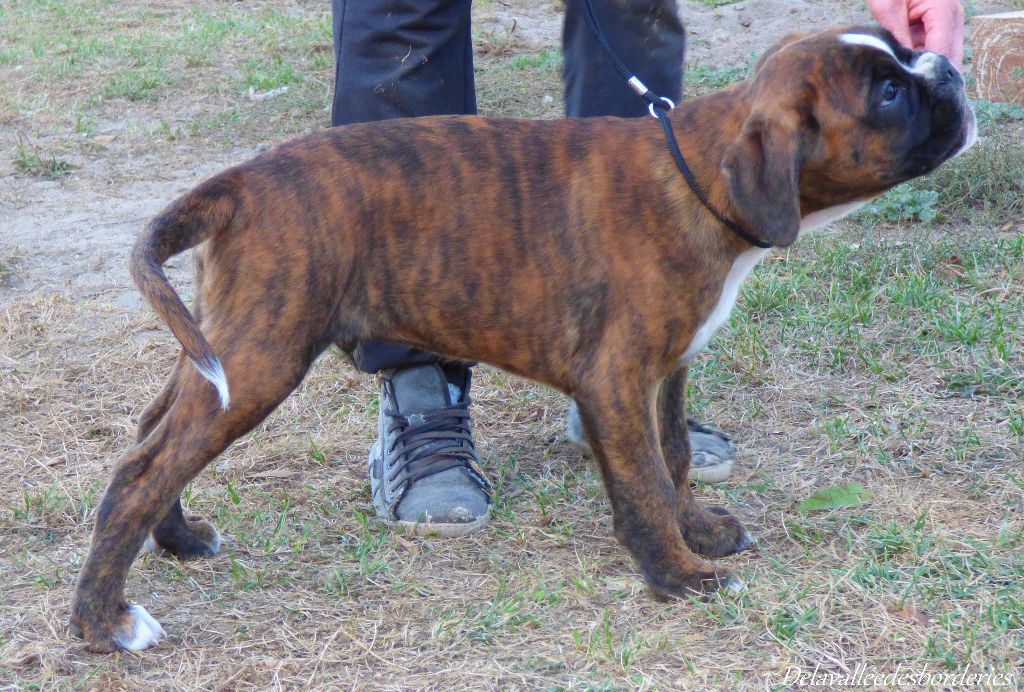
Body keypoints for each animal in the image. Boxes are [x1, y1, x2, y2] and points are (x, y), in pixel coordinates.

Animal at [72, 25, 974, 646]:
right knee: (143, 469)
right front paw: (677, 575)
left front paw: (697, 532)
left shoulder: (665, 372)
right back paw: (102, 624)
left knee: (150, 438)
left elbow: (674, 456)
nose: (950, 69)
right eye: (887, 96)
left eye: (907, 56)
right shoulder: (617, 377)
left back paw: (178, 539)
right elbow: (643, 481)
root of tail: (241, 181)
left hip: (224, 349)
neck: (697, 175)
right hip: (262, 358)